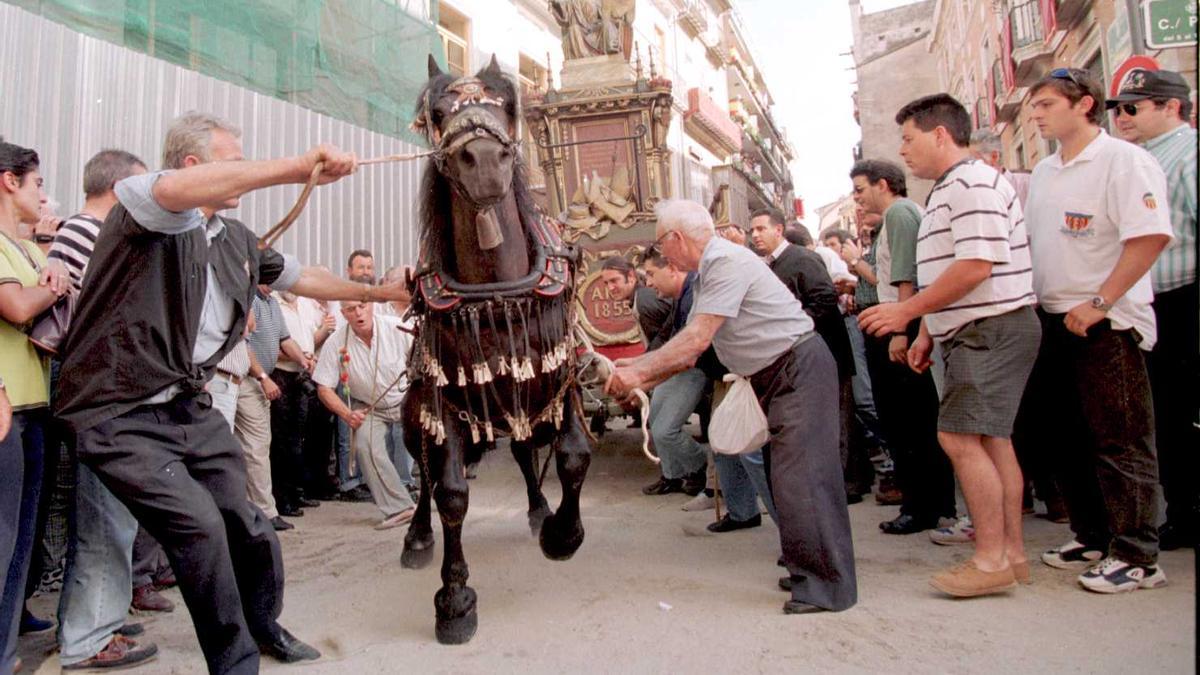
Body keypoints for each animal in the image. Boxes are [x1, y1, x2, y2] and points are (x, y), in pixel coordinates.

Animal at [400, 56, 592, 638]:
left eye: (507, 106)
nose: (484, 161)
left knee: (528, 453)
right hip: (413, 414)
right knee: (421, 473)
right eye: (438, 114)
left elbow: (573, 457)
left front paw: (561, 533)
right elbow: (450, 493)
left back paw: (537, 510)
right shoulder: (446, 404)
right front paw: (455, 599)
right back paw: (416, 536)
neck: (497, 292)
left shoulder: (561, 383)